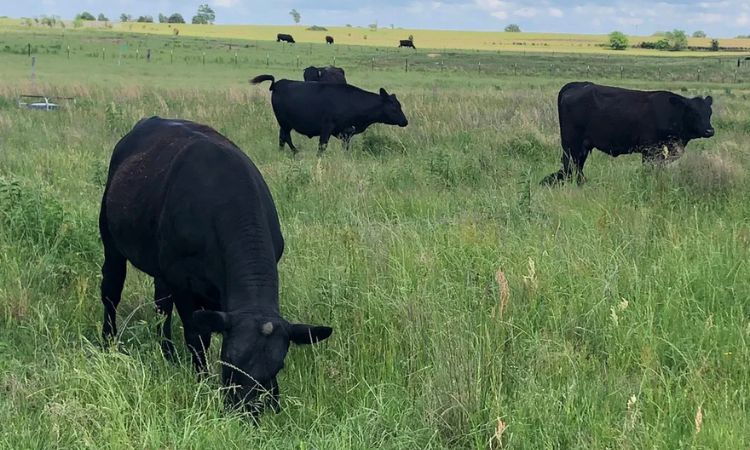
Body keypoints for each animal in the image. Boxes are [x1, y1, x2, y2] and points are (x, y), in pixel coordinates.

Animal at [99, 116, 332, 414]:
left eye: (278, 365)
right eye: (229, 359)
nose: (247, 411)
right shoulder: (183, 282)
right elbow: (197, 335)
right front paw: (201, 380)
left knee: (161, 304)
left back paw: (167, 354)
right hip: (112, 241)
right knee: (111, 291)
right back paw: (109, 342)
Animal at [251, 75, 408, 153]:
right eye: (394, 107)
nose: (405, 121)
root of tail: (278, 83)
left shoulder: (346, 132)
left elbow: (345, 149)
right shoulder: (327, 127)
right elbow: (322, 146)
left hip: (284, 124)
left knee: (282, 138)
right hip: (284, 123)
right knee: (285, 137)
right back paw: (295, 152)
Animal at [542, 82, 715, 185]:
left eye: (709, 112)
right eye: (693, 112)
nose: (710, 130)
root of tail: (577, 84)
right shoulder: (650, 149)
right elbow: (649, 168)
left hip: (582, 146)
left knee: (577, 165)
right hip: (571, 143)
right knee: (570, 164)